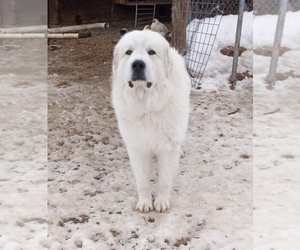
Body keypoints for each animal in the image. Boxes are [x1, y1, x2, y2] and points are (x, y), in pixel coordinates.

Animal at [111, 29, 191, 213]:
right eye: (128, 52)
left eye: (151, 52)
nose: (138, 64)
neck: (147, 106)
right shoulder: (138, 148)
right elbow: (142, 181)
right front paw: (145, 202)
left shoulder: (168, 149)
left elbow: (164, 180)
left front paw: (161, 201)